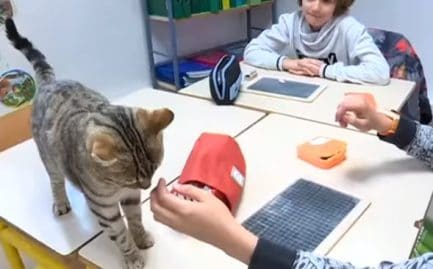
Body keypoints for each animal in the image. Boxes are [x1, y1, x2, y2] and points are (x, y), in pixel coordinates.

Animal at [5, 17, 174, 266]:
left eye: (154, 169)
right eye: (133, 178)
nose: (146, 186)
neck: (117, 188)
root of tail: (49, 82)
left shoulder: (131, 198)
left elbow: (135, 221)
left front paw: (142, 238)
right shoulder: (107, 210)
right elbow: (121, 235)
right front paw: (133, 256)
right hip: (50, 161)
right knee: (56, 182)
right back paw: (61, 202)